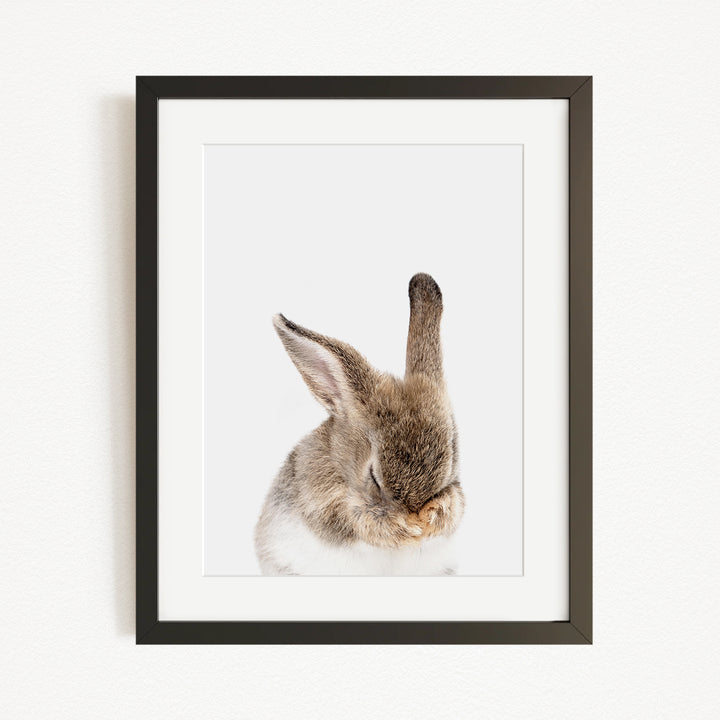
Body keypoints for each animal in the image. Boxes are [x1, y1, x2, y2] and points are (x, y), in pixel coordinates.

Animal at [254, 273, 464, 576]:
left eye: (451, 460)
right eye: (373, 476)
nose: (416, 515)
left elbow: (455, 505)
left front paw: (432, 518)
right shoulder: (328, 507)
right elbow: (360, 522)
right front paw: (406, 528)